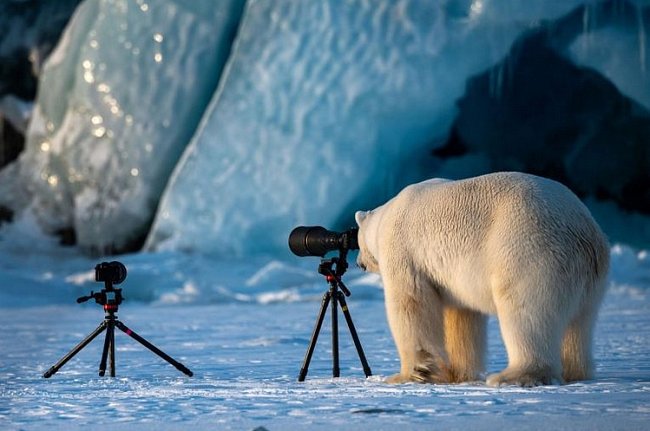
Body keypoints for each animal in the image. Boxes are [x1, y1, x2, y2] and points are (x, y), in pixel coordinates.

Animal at [354, 172, 608, 388]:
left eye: (357, 242)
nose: (359, 263)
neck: (386, 216)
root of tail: (584, 230)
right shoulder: (453, 278)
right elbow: (461, 316)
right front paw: (456, 374)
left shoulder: (404, 251)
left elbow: (411, 305)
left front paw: (408, 375)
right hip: (588, 278)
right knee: (580, 323)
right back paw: (575, 372)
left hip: (529, 251)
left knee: (526, 313)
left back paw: (512, 376)